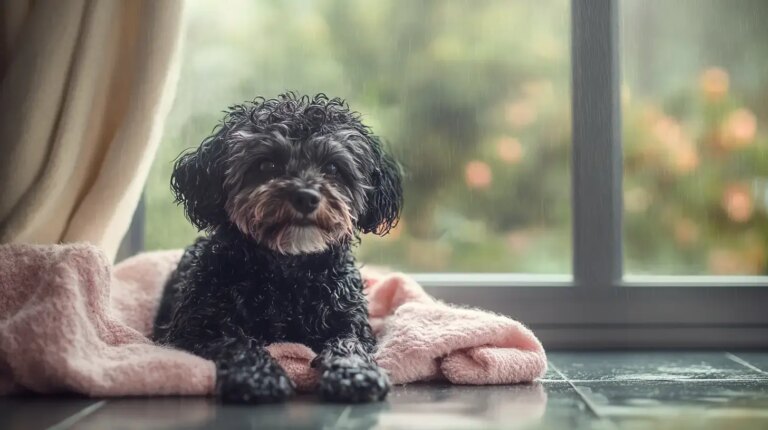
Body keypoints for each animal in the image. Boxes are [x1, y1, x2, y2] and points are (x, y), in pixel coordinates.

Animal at [152, 93, 402, 404]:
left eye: (333, 167)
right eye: (266, 165)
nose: (305, 197)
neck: (287, 274)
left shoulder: (350, 322)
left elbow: (348, 343)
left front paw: (356, 373)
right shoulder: (195, 327)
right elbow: (236, 342)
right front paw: (257, 376)